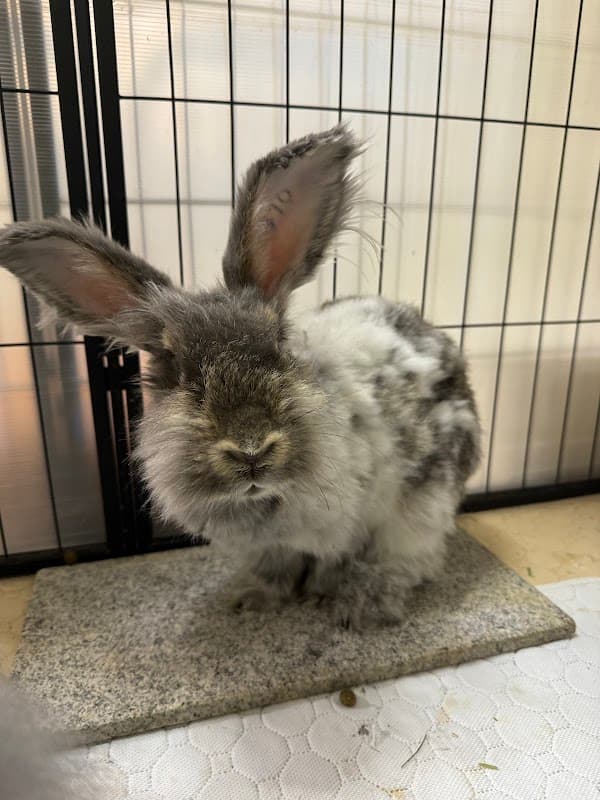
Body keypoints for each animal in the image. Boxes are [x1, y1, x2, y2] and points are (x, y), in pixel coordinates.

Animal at [0, 124, 480, 628]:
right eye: (173, 367)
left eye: (278, 343)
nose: (251, 450)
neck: (262, 499)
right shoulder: (273, 545)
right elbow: (275, 567)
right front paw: (252, 601)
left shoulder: (358, 521)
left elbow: (348, 559)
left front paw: (340, 600)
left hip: (424, 499)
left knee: (407, 555)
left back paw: (366, 603)